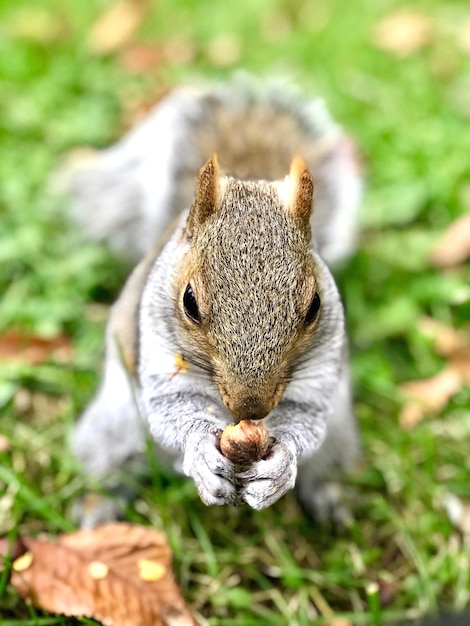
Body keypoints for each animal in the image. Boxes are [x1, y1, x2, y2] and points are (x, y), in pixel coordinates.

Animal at [69, 77, 364, 528]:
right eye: (189, 301)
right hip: (114, 424)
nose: (251, 407)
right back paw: (98, 505)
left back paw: (331, 499)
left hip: (341, 433)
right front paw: (201, 457)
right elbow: (172, 410)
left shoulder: (322, 367)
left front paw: (281, 467)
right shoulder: (158, 350)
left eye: (315, 305)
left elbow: (305, 418)